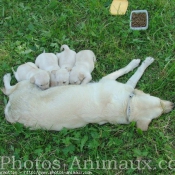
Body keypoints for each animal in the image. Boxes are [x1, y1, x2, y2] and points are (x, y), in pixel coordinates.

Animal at [1, 56, 174, 131]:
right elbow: (131, 72)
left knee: (7, 90)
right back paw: (7, 77)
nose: (172, 105)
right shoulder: (109, 79)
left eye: (160, 112)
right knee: (7, 89)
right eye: (159, 101)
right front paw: (141, 62)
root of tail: (10, 111)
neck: (126, 107)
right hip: (26, 85)